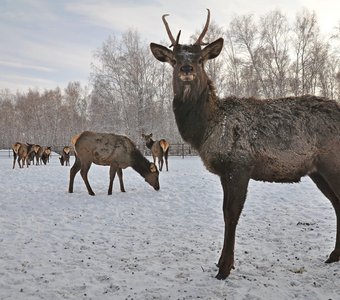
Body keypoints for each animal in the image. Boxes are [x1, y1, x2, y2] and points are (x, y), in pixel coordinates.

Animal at [151, 9, 340, 282]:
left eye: (201, 60)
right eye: (174, 60)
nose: (187, 68)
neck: (205, 130)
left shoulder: (239, 165)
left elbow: (231, 214)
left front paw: (225, 268)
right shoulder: (224, 172)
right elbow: (223, 212)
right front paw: (221, 263)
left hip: (332, 163)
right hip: (318, 171)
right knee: (336, 203)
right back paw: (334, 255)